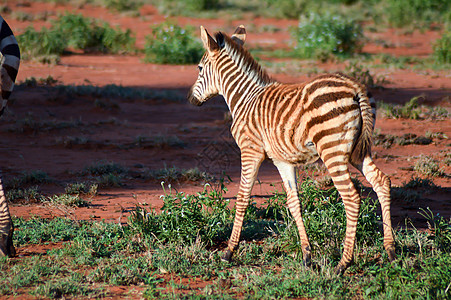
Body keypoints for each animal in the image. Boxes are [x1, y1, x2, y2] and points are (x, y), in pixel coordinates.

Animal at [187, 26, 396, 274]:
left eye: (199, 68)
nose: (190, 99)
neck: (245, 99)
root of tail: (356, 88)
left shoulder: (250, 150)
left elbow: (242, 197)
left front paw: (229, 251)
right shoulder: (282, 160)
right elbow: (294, 202)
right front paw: (307, 255)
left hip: (331, 150)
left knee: (352, 197)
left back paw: (343, 263)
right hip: (358, 150)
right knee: (381, 182)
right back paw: (391, 251)